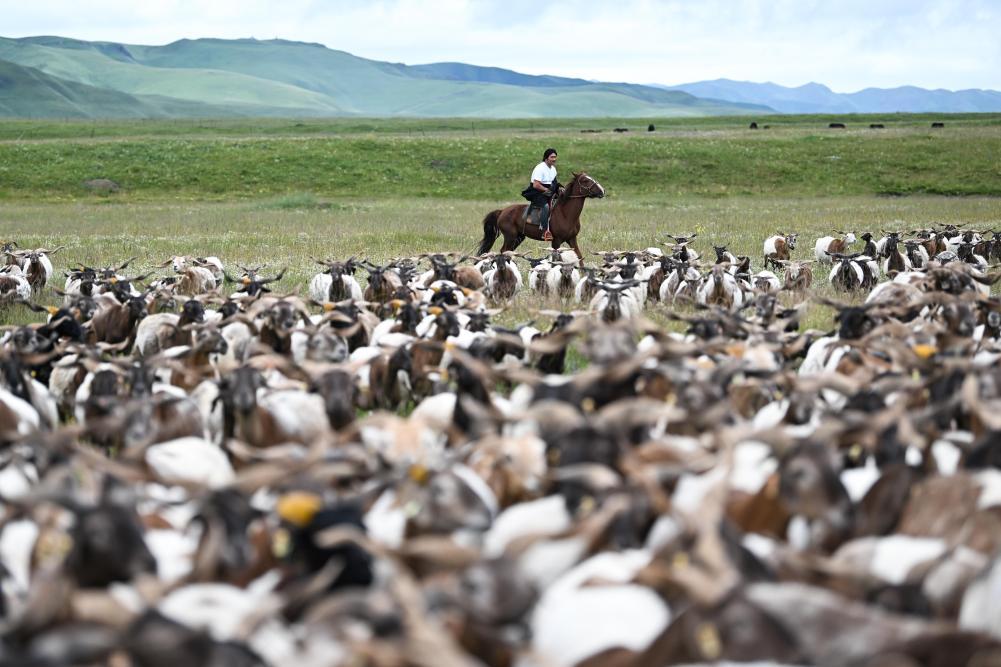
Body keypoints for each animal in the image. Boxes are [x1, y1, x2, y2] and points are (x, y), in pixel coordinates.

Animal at [474, 171, 604, 262]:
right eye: (585, 180)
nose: (602, 191)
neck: (565, 213)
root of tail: (502, 211)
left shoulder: (572, 239)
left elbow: (579, 256)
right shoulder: (556, 241)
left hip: (518, 237)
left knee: (507, 252)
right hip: (510, 237)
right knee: (504, 251)